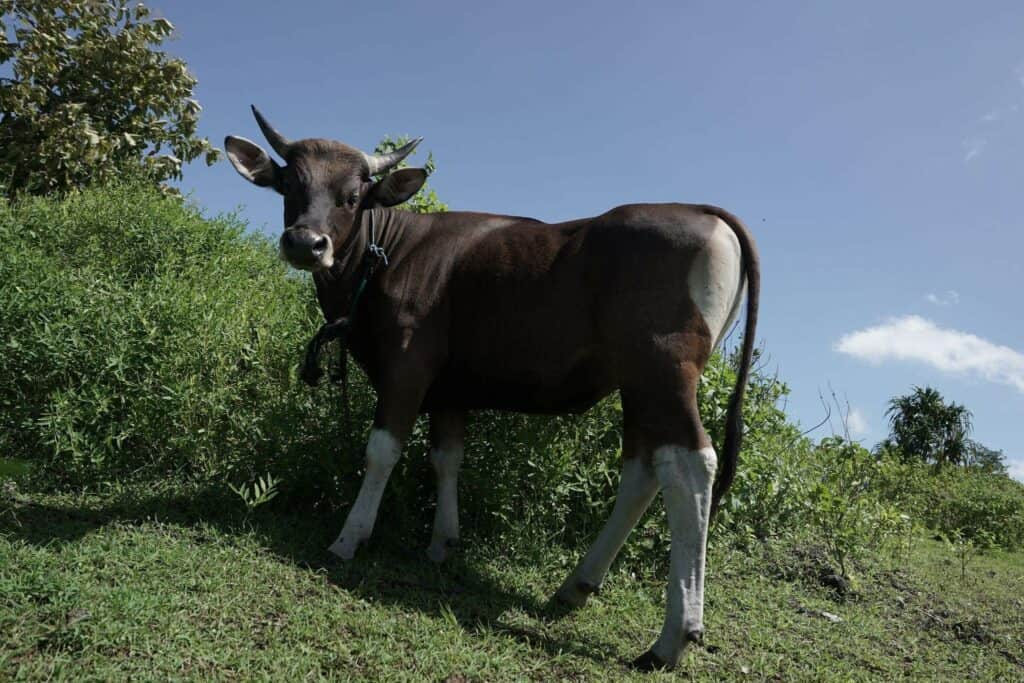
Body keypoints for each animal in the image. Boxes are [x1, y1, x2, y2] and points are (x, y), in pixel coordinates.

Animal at [230, 108, 761, 671]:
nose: (305, 243)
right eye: (291, 185)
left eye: (353, 196)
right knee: (643, 470)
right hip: (638, 384)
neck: (390, 253)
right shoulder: (449, 392)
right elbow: (447, 458)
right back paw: (576, 586)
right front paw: (442, 544)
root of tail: (701, 210)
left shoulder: (407, 366)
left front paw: (350, 537)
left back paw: (672, 637)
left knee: (691, 465)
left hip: (663, 373)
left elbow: (382, 451)